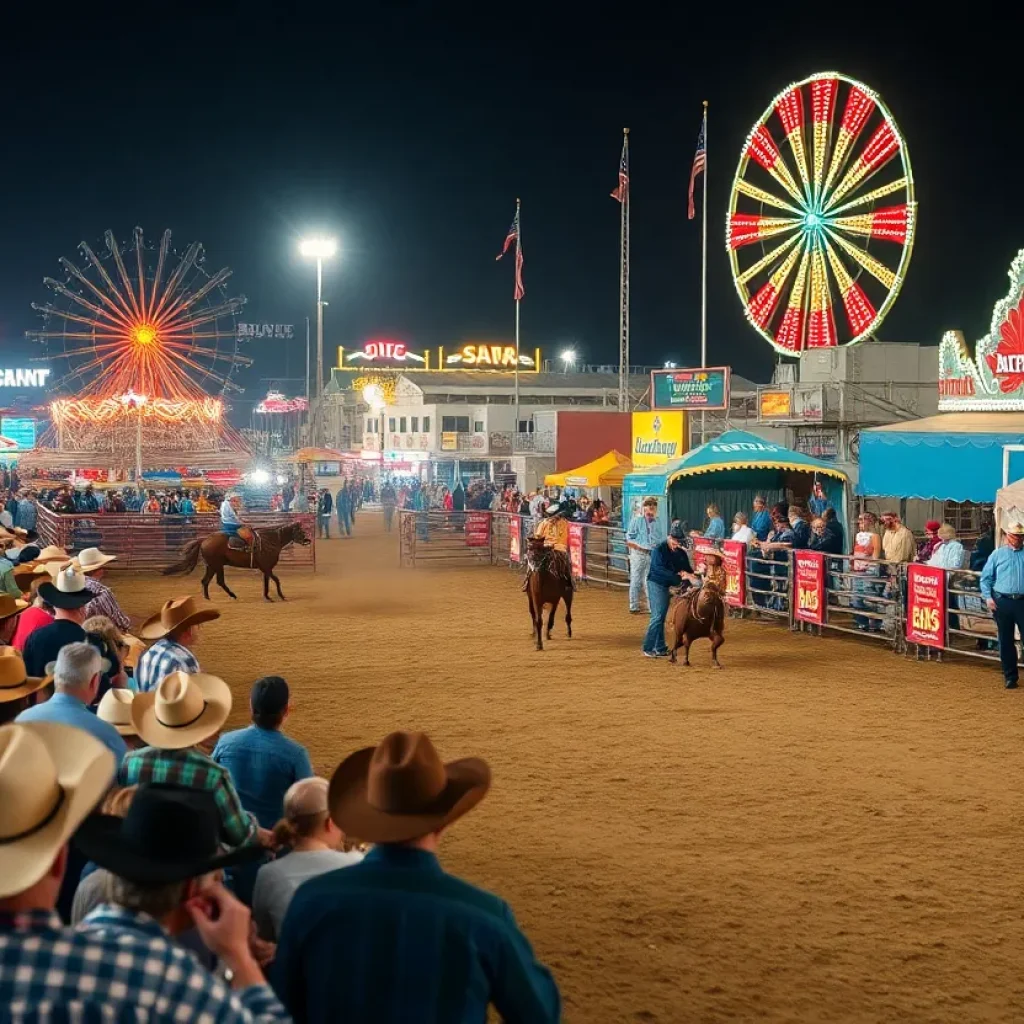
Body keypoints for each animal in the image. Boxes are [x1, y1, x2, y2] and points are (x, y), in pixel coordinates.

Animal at [163, 524, 311, 602]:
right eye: (300, 531)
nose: (307, 540)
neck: (270, 541)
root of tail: (204, 540)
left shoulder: (265, 569)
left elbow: (267, 582)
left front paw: (267, 597)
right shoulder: (267, 567)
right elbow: (276, 580)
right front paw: (281, 596)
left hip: (212, 566)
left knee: (206, 581)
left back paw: (209, 597)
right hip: (216, 566)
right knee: (218, 581)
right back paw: (231, 595)